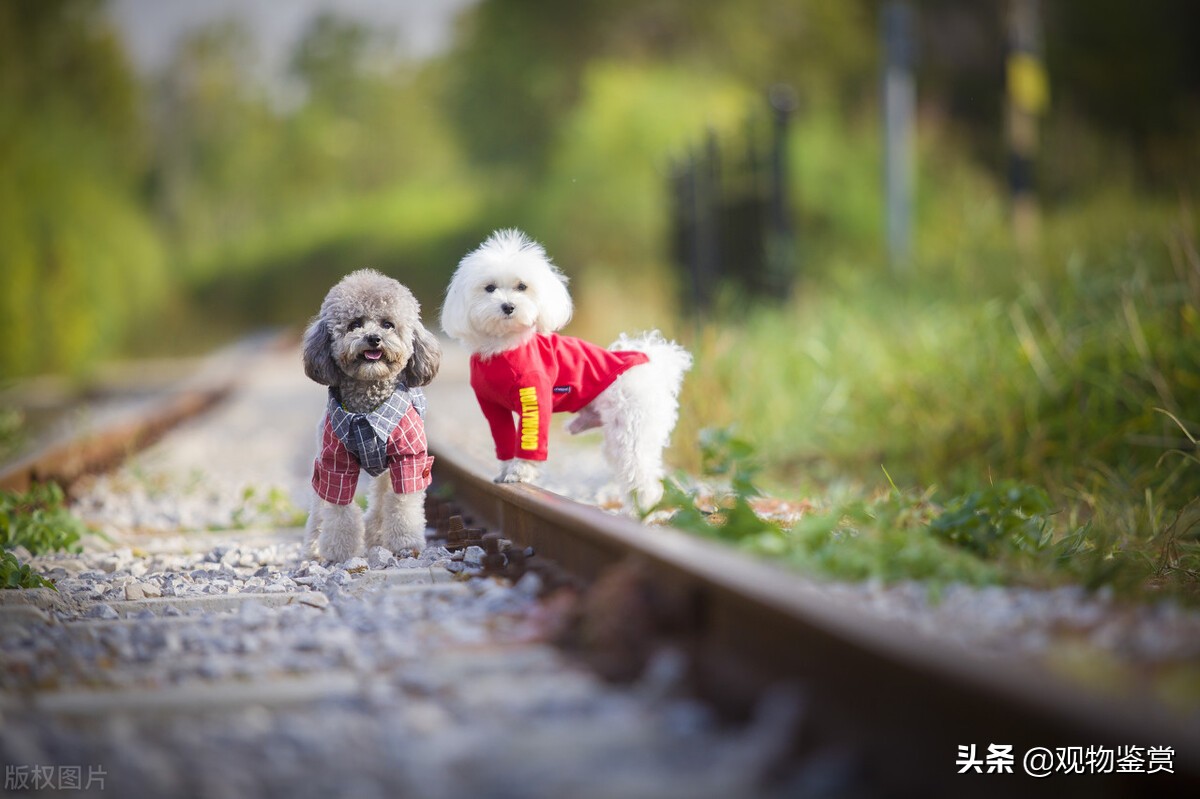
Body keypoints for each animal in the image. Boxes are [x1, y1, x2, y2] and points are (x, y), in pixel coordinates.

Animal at [302, 267, 444, 559]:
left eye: (388, 324)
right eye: (355, 324)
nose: (374, 338)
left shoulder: (408, 457)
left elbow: (402, 502)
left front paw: (405, 542)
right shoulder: (335, 462)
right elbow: (338, 506)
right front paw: (338, 551)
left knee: (381, 497)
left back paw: (378, 536)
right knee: (319, 505)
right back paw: (314, 547)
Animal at [441, 226, 691, 506]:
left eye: (522, 286)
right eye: (489, 288)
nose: (508, 306)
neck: (504, 348)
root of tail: (650, 362)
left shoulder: (534, 398)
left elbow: (529, 442)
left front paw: (519, 473)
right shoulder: (492, 408)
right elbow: (504, 440)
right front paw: (505, 470)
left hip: (633, 427)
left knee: (642, 472)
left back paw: (645, 508)